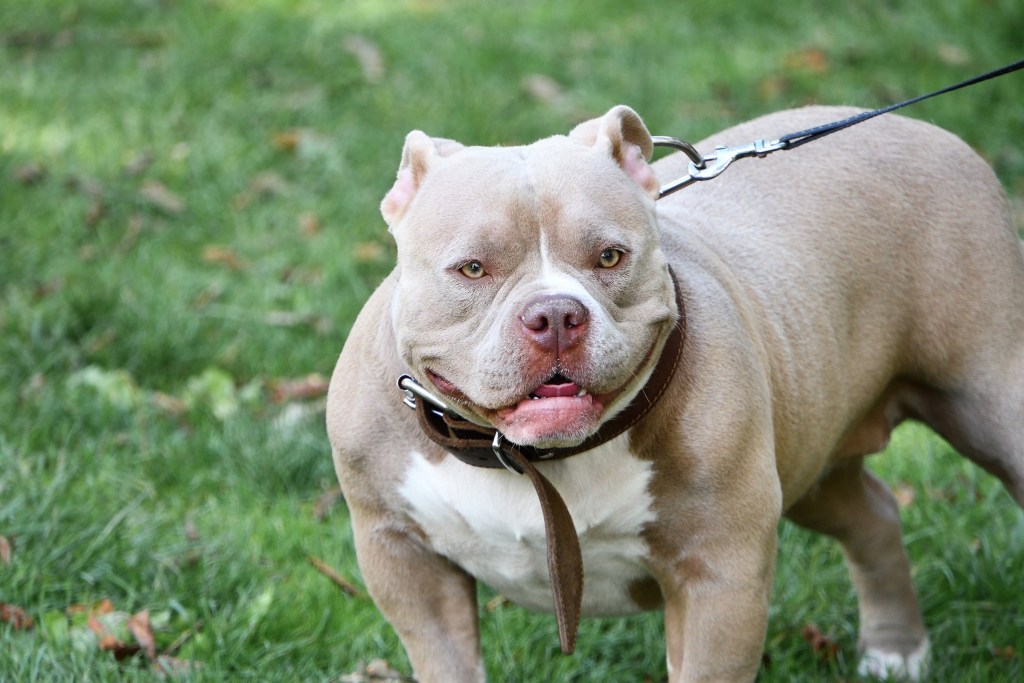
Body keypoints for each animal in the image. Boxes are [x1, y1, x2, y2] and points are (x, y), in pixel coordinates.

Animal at [329, 104, 1024, 679]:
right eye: (472, 268)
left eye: (610, 257)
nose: (555, 315)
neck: (530, 457)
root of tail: (925, 128)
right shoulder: (403, 559)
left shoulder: (719, 576)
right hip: (810, 455)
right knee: (875, 513)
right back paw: (895, 652)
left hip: (991, 405)